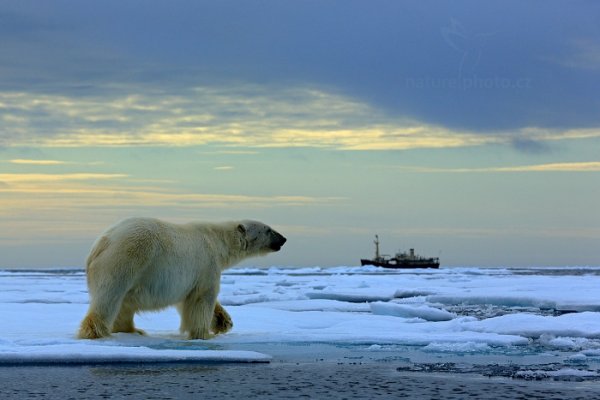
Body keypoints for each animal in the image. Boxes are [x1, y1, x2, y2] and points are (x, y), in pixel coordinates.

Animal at [77, 217, 286, 340]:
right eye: (268, 229)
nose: (283, 239)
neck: (218, 241)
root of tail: (101, 243)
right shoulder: (206, 263)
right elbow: (203, 298)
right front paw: (203, 334)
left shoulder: (185, 278)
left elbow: (187, 298)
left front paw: (223, 321)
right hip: (126, 258)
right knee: (110, 297)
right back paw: (96, 332)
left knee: (124, 303)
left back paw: (133, 330)